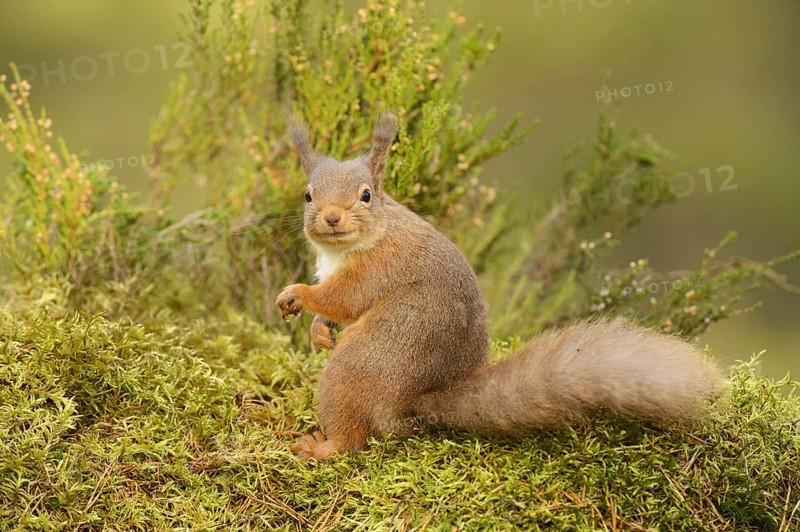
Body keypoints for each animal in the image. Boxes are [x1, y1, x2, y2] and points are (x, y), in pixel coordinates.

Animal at [276, 114, 723, 461]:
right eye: (308, 195)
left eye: (366, 195)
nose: (332, 218)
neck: (352, 246)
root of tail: (416, 405)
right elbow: (334, 309)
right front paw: (318, 331)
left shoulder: (377, 268)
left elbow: (344, 299)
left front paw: (298, 295)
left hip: (355, 369)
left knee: (352, 439)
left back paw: (321, 447)